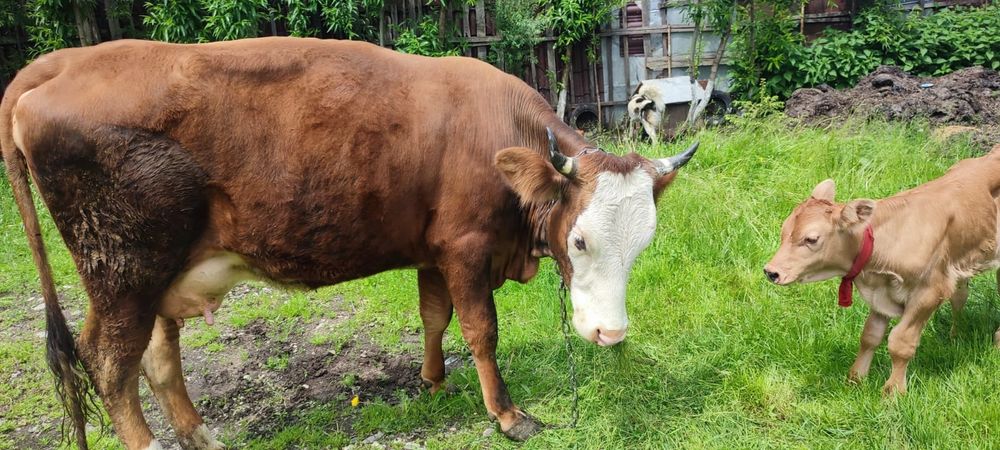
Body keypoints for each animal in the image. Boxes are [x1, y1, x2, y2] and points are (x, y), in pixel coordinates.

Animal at [1, 37, 698, 449]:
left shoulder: (433, 249)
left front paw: (433, 381)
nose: (609, 334)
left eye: (643, 245)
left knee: (158, 359)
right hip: (123, 272)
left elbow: (434, 315)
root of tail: (66, 61)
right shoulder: (466, 246)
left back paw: (199, 435)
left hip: (159, 275)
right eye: (577, 241)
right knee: (109, 363)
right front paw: (506, 413)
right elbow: (481, 329)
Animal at [763, 145, 1000, 396]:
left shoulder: (929, 291)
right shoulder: (880, 291)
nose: (771, 271)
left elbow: (900, 342)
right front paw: (855, 379)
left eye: (811, 239)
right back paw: (954, 337)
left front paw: (893, 392)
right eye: (783, 231)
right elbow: (870, 336)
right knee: (960, 296)